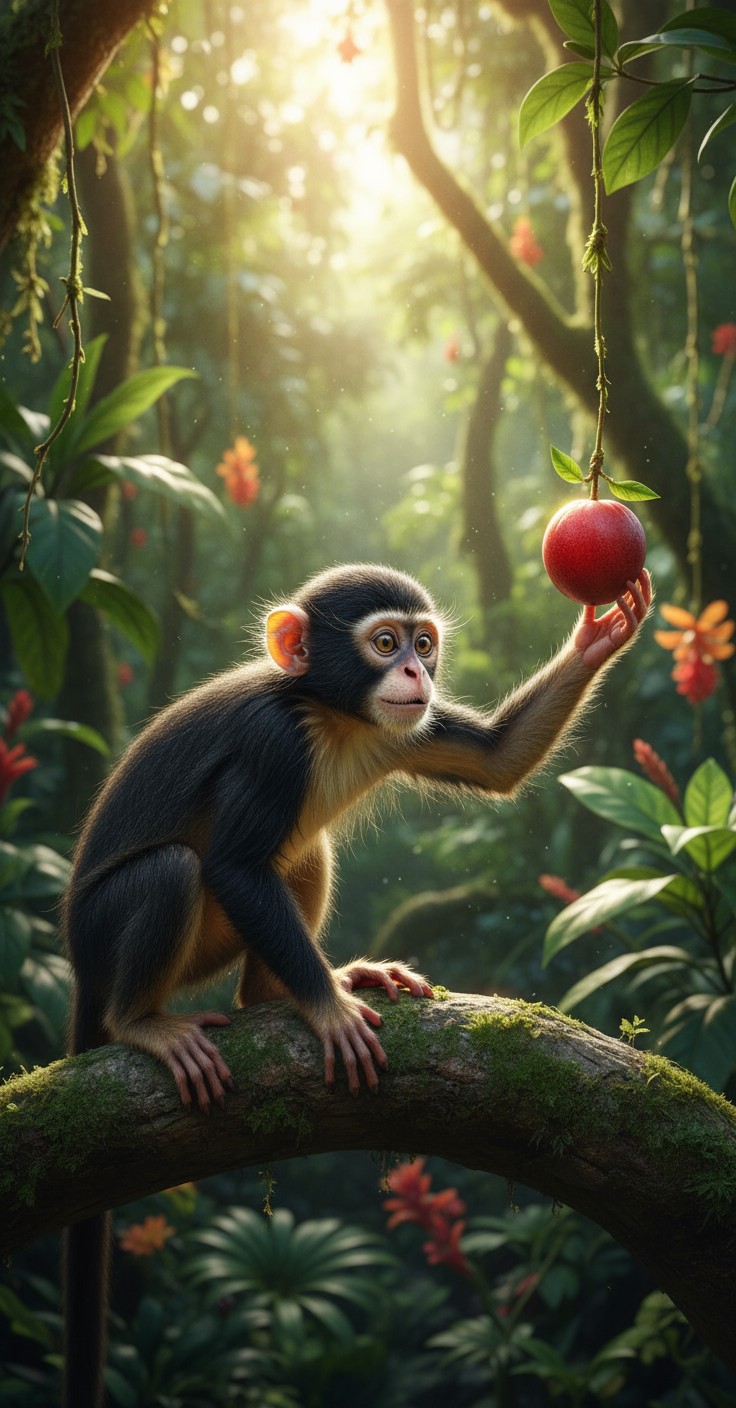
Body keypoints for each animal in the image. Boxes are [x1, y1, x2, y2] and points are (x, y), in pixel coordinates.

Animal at [60, 560, 651, 1407]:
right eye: (383, 643)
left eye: (423, 644)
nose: (414, 674)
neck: (330, 714)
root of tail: (78, 962)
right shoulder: (274, 744)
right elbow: (235, 868)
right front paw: (330, 1011)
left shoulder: (406, 722)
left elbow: (498, 759)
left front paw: (602, 633)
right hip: (107, 936)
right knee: (179, 870)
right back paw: (145, 1021)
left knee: (306, 852)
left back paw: (272, 995)